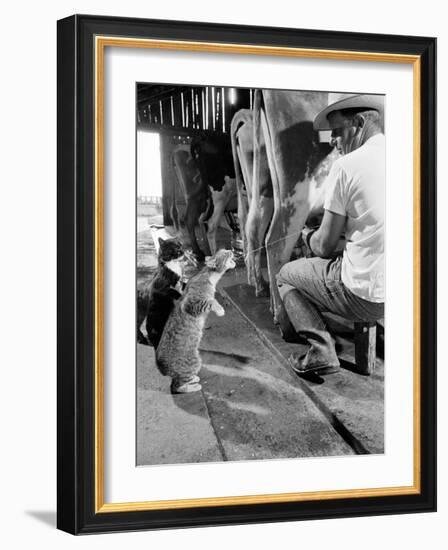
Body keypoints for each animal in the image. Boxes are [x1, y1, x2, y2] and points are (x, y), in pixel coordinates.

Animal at [156, 250, 236, 396]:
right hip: (194, 362)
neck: (209, 276)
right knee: (177, 387)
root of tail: (162, 369)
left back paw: (194, 380)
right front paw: (220, 309)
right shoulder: (192, 304)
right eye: (225, 253)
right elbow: (211, 301)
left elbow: (212, 300)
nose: (232, 250)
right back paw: (194, 386)